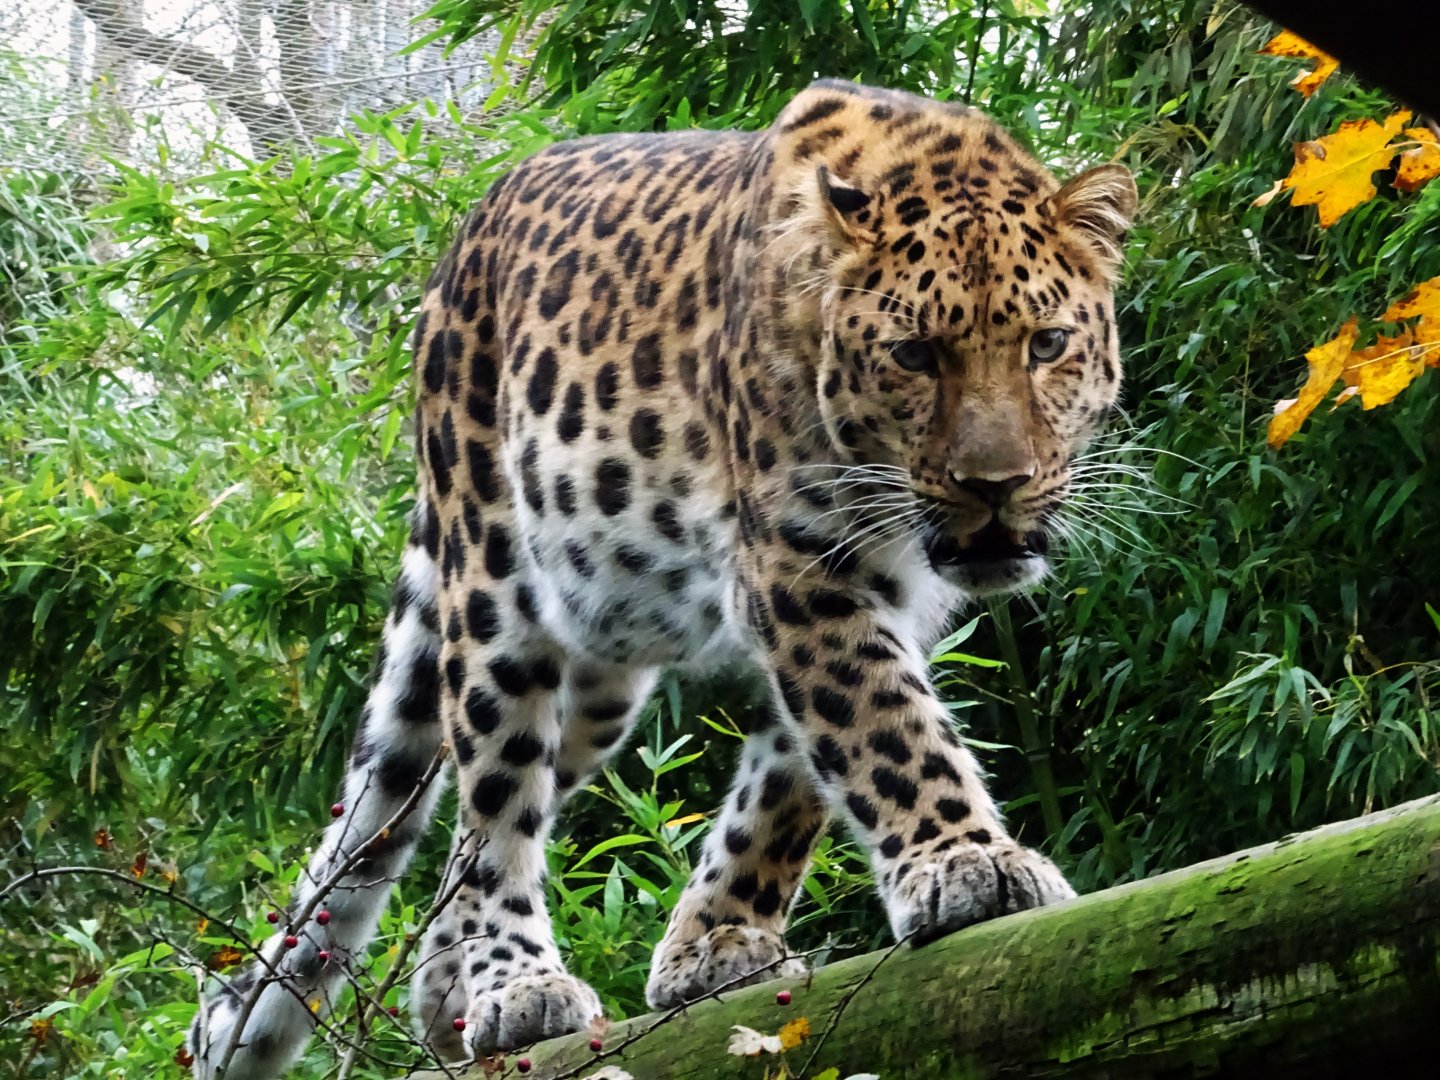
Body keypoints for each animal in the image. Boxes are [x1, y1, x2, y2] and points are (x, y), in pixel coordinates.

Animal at [188, 78, 1136, 1078]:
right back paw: (515, 984)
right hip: (493, 591)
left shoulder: (884, 596)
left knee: (473, 822)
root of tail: (457, 251)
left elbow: (788, 782)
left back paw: (448, 992)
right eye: (915, 354)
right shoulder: (798, 564)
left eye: (1048, 344)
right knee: (495, 800)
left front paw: (713, 942)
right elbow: (883, 724)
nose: (996, 485)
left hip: (599, 674)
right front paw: (968, 861)